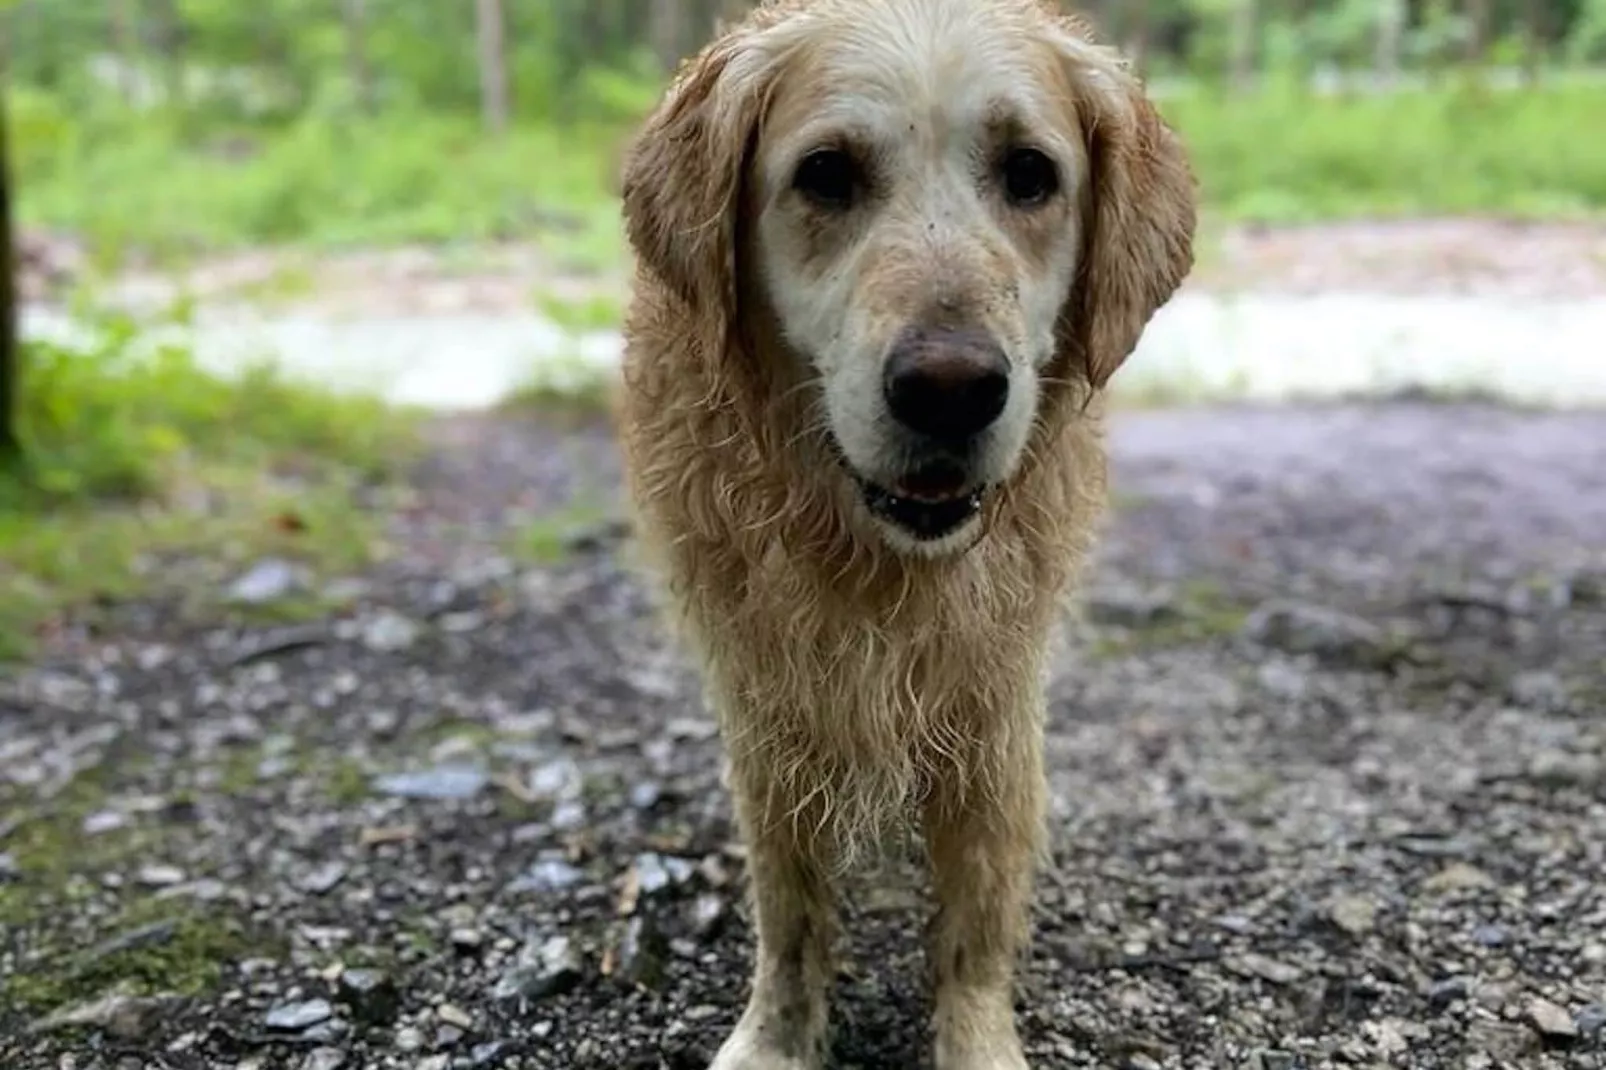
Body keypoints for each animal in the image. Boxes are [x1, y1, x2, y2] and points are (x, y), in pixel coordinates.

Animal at [613, 4, 1194, 1060]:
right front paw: (776, 1039)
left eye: (1030, 174)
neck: (880, 563)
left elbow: (977, 922)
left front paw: (977, 1040)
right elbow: (789, 907)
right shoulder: (769, 702)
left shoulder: (994, 704)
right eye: (827, 174)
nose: (952, 390)